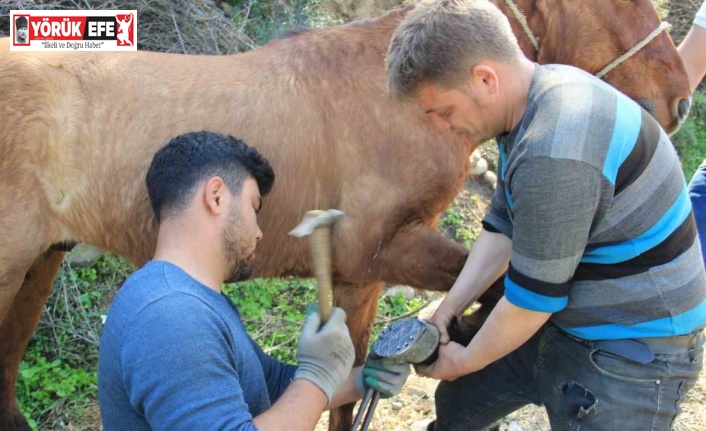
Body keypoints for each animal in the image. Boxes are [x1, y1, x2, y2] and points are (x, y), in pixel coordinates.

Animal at [0, 1, 688, 430]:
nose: (679, 100)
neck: (387, 96)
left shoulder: (361, 276)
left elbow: (350, 383)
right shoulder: (382, 251)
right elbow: (490, 289)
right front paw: (465, 333)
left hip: (39, 266)